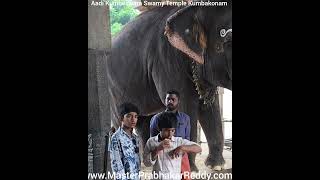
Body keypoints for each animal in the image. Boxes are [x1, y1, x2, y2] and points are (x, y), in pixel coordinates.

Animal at [106, 0, 231, 172]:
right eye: (224, 43)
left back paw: (147, 163)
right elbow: (185, 106)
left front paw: (216, 166)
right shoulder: (167, 61)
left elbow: (210, 108)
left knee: (144, 119)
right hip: (113, 88)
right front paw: (188, 168)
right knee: (122, 118)